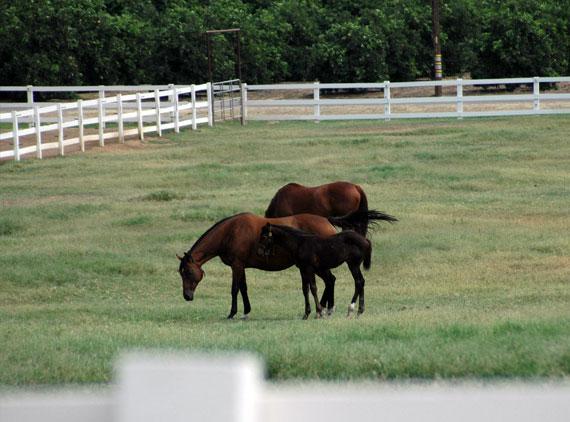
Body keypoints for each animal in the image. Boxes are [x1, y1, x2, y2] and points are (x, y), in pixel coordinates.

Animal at [178, 213, 374, 318]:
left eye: (187, 272)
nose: (187, 296)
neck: (231, 231)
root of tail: (326, 220)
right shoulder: (241, 267)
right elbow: (244, 288)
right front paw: (246, 311)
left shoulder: (236, 265)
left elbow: (235, 289)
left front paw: (233, 313)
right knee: (330, 281)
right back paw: (327, 309)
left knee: (332, 281)